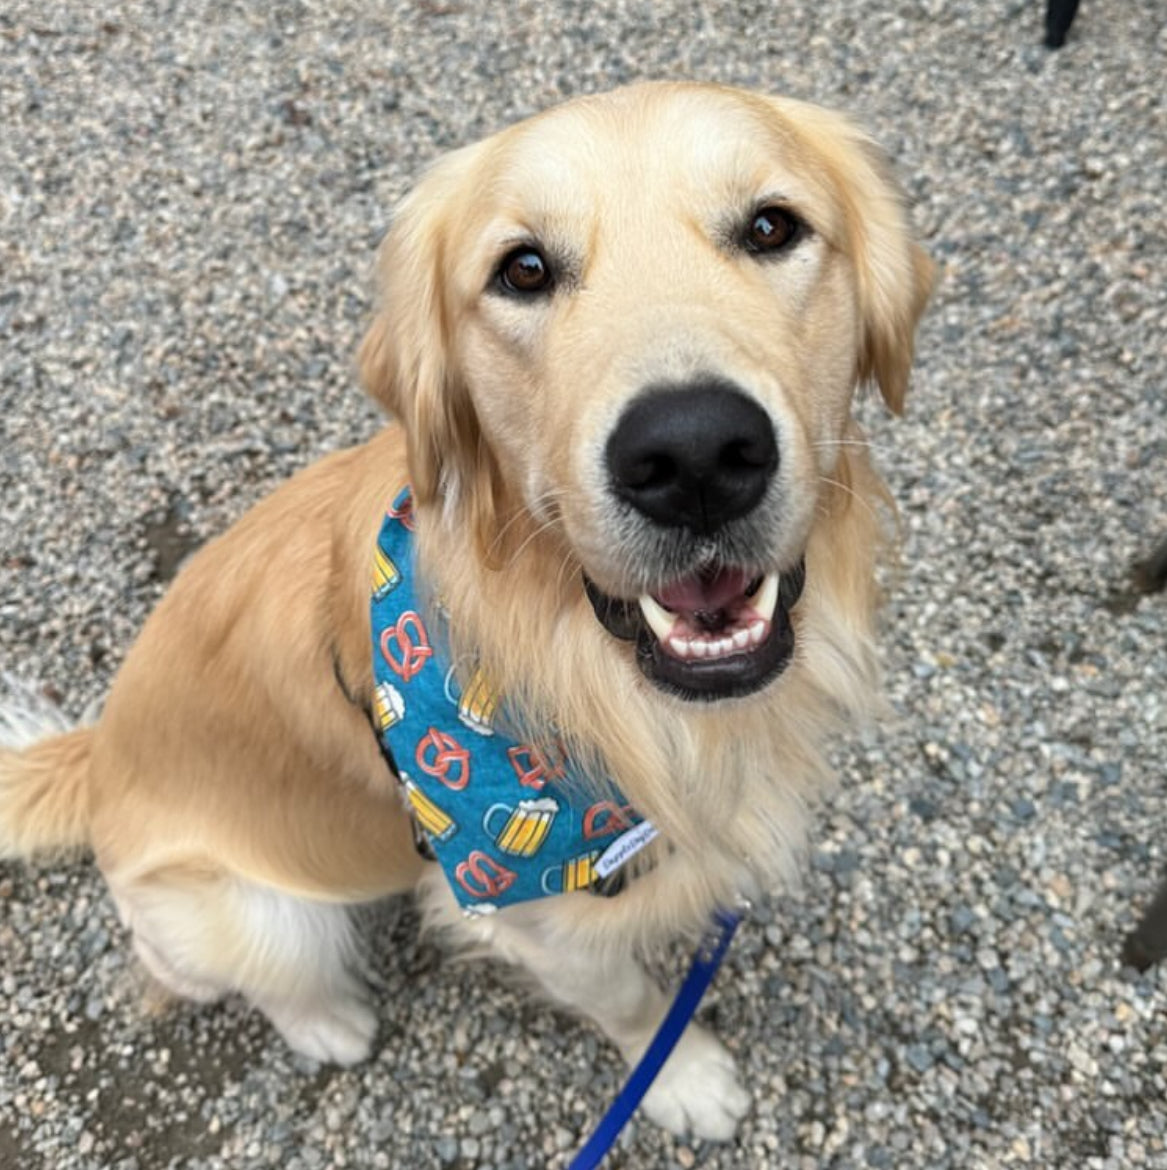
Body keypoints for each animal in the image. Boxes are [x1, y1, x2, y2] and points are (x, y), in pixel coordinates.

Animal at [0, 84, 927, 1141]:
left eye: (772, 227)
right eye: (522, 269)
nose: (693, 455)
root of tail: (96, 755)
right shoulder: (541, 913)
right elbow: (631, 1004)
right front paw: (684, 1077)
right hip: (257, 914)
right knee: (212, 971)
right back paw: (329, 1024)